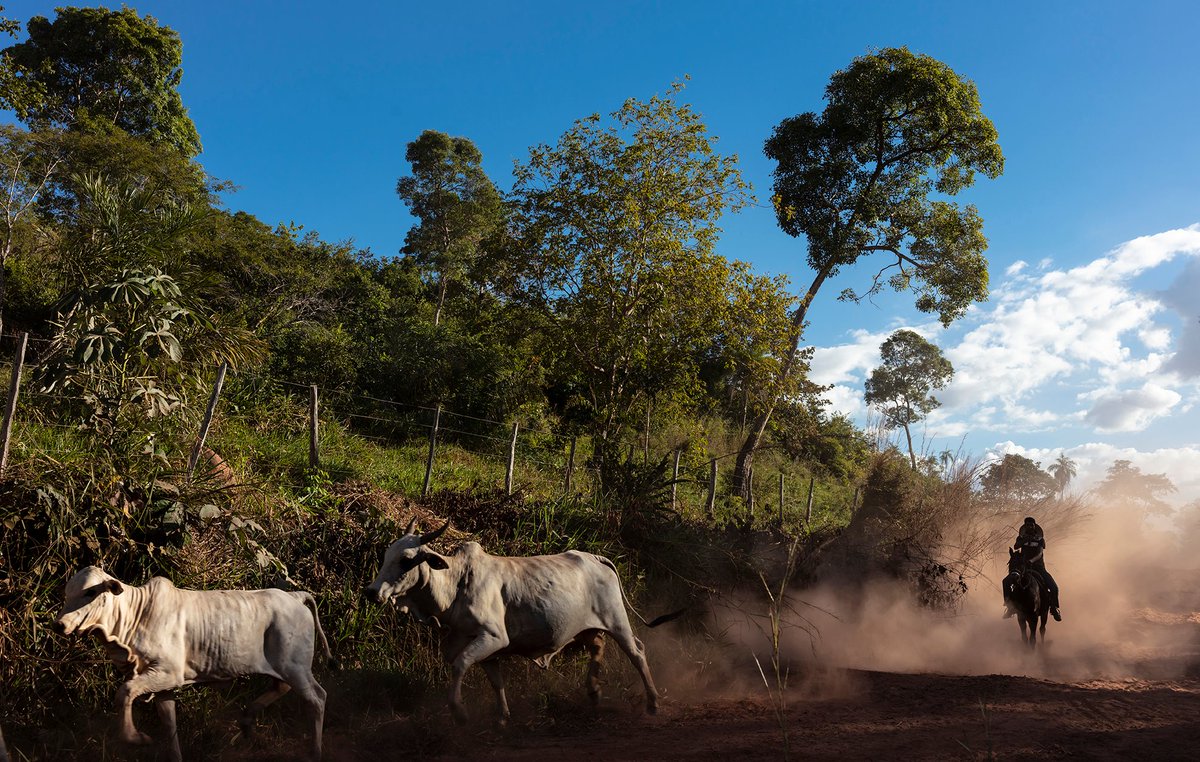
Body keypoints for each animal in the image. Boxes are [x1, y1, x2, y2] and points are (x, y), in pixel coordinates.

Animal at [360, 520, 681, 724]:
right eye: (386, 555)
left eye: (406, 560)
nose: (372, 591)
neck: (457, 584)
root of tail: (596, 557)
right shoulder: (485, 647)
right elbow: (495, 681)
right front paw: (502, 717)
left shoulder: (492, 637)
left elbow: (459, 665)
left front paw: (459, 712)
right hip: (589, 629)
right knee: (597, 647)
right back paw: (593, 691)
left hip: (617, 621)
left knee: (637, 652)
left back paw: (652, 702)